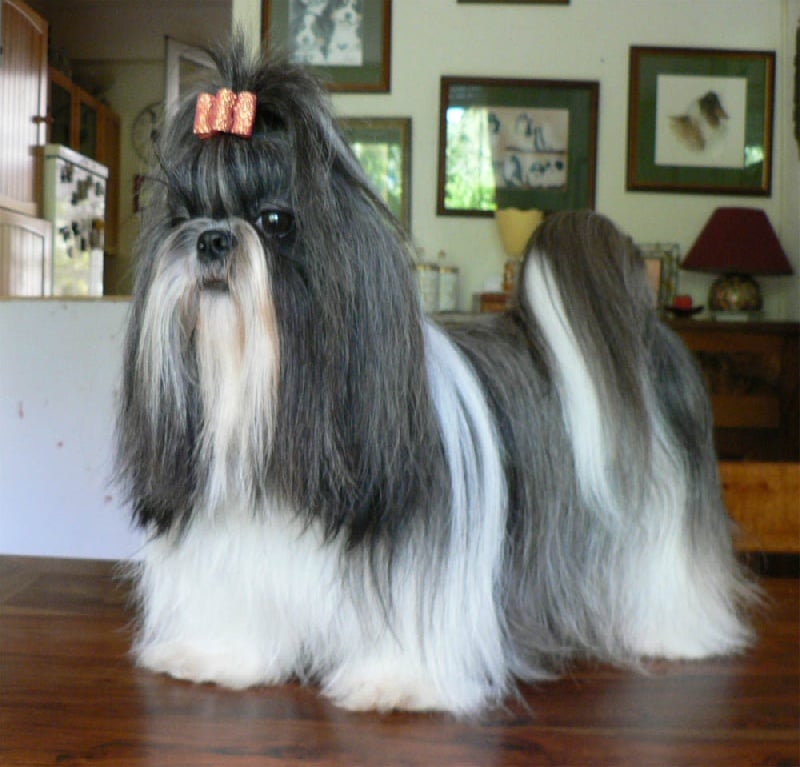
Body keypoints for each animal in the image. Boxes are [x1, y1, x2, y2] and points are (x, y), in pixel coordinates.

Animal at [115, 41, 757, 715]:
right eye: (184, 216)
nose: (210, 238)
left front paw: (394, 682)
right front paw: (215, 655)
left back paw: (676, 635)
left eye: (274, 220)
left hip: (664, 527)